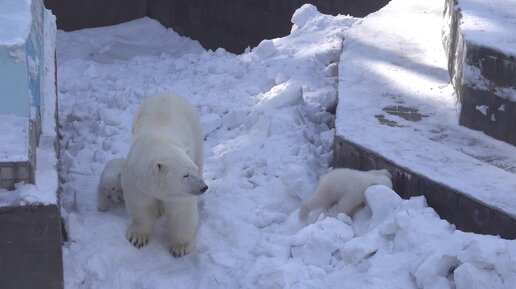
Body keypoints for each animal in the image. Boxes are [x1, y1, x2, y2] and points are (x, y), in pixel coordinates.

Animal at [121, 91, 208, 255]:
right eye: (185, 175)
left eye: (193, 170)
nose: (203, 187)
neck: (157, 143)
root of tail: (167, 93)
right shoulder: (136, 182)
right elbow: (141, 207)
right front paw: (138, 238)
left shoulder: (181, 194)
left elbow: (181, 213)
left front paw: (181, 247)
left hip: (196, 130)